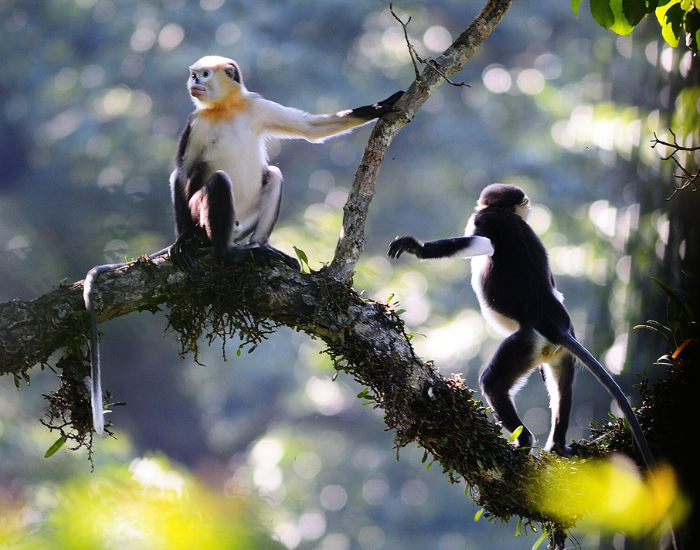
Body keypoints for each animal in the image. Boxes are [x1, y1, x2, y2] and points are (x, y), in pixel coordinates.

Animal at [83, 55, 403, 433]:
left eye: (204, 75)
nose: (194, 82)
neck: (225, 109)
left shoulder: (256, 106)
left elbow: (309, 128)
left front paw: (380, 106)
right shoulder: (195, 123)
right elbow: (180, 173)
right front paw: (181, 241)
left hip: (245, 220)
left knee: (274, 174)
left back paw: (262, 248)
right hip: (206, 217)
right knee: (216, 181)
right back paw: (220, 251)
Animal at [387, 184, 655, 467]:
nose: (528, 208)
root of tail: (550, 321)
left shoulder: (487, 219)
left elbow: (481, 241)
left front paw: (418, 248)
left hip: (526, 342)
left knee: (492, 383)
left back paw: (525, 440)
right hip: (558, 350)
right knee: (562, 385)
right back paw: (558, 446)